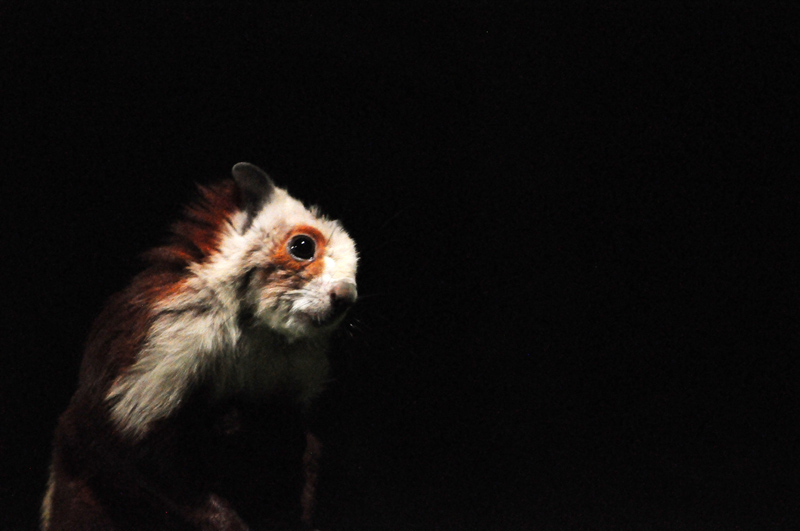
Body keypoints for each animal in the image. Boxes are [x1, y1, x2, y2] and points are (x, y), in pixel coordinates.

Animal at [41, 163, 358, 530]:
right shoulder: (150, 370)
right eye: (302, 246)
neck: (256, 331)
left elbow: (296, 454)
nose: (345, 298)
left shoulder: (291, 406)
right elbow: (141, 463)